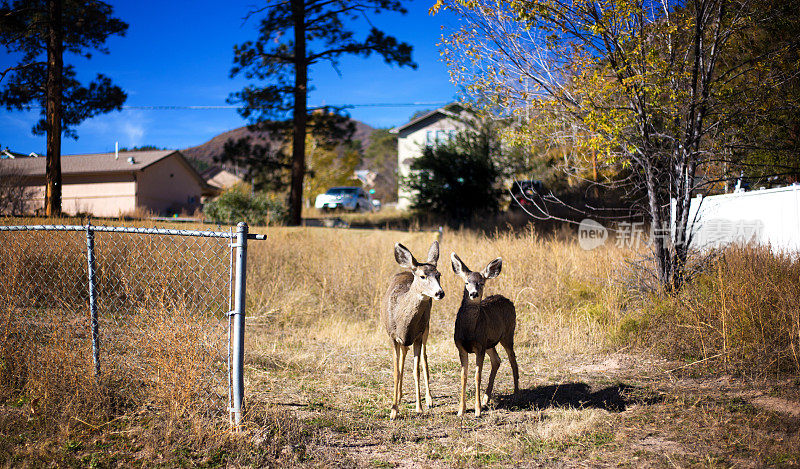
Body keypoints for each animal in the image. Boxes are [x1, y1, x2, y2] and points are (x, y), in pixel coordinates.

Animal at [382, 239, 444, 418]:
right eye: (423, 276)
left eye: (439, 275)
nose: (439, 293)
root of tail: (407, 269)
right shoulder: (392, 337)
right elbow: (396, 372)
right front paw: (393, 410)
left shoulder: (417, 335)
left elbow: (416, 371)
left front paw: (419, 408)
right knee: (404, 356)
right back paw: (400, 395)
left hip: (427, 328)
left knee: (424, 357)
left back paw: (429, 399)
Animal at [450, 252, 520, 416]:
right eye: (466, 282)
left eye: (481, 283)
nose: (473, 293)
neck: (469, 332)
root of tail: (507, 299)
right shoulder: (461, 347)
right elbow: (463, 376)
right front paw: (461, 410)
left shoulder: (479, 346)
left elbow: (477, 376)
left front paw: (477, 410)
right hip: (490, 343)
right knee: (497, 360)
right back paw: (486, 399)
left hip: (508, 334)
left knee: (513, 360)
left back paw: (516, 394)